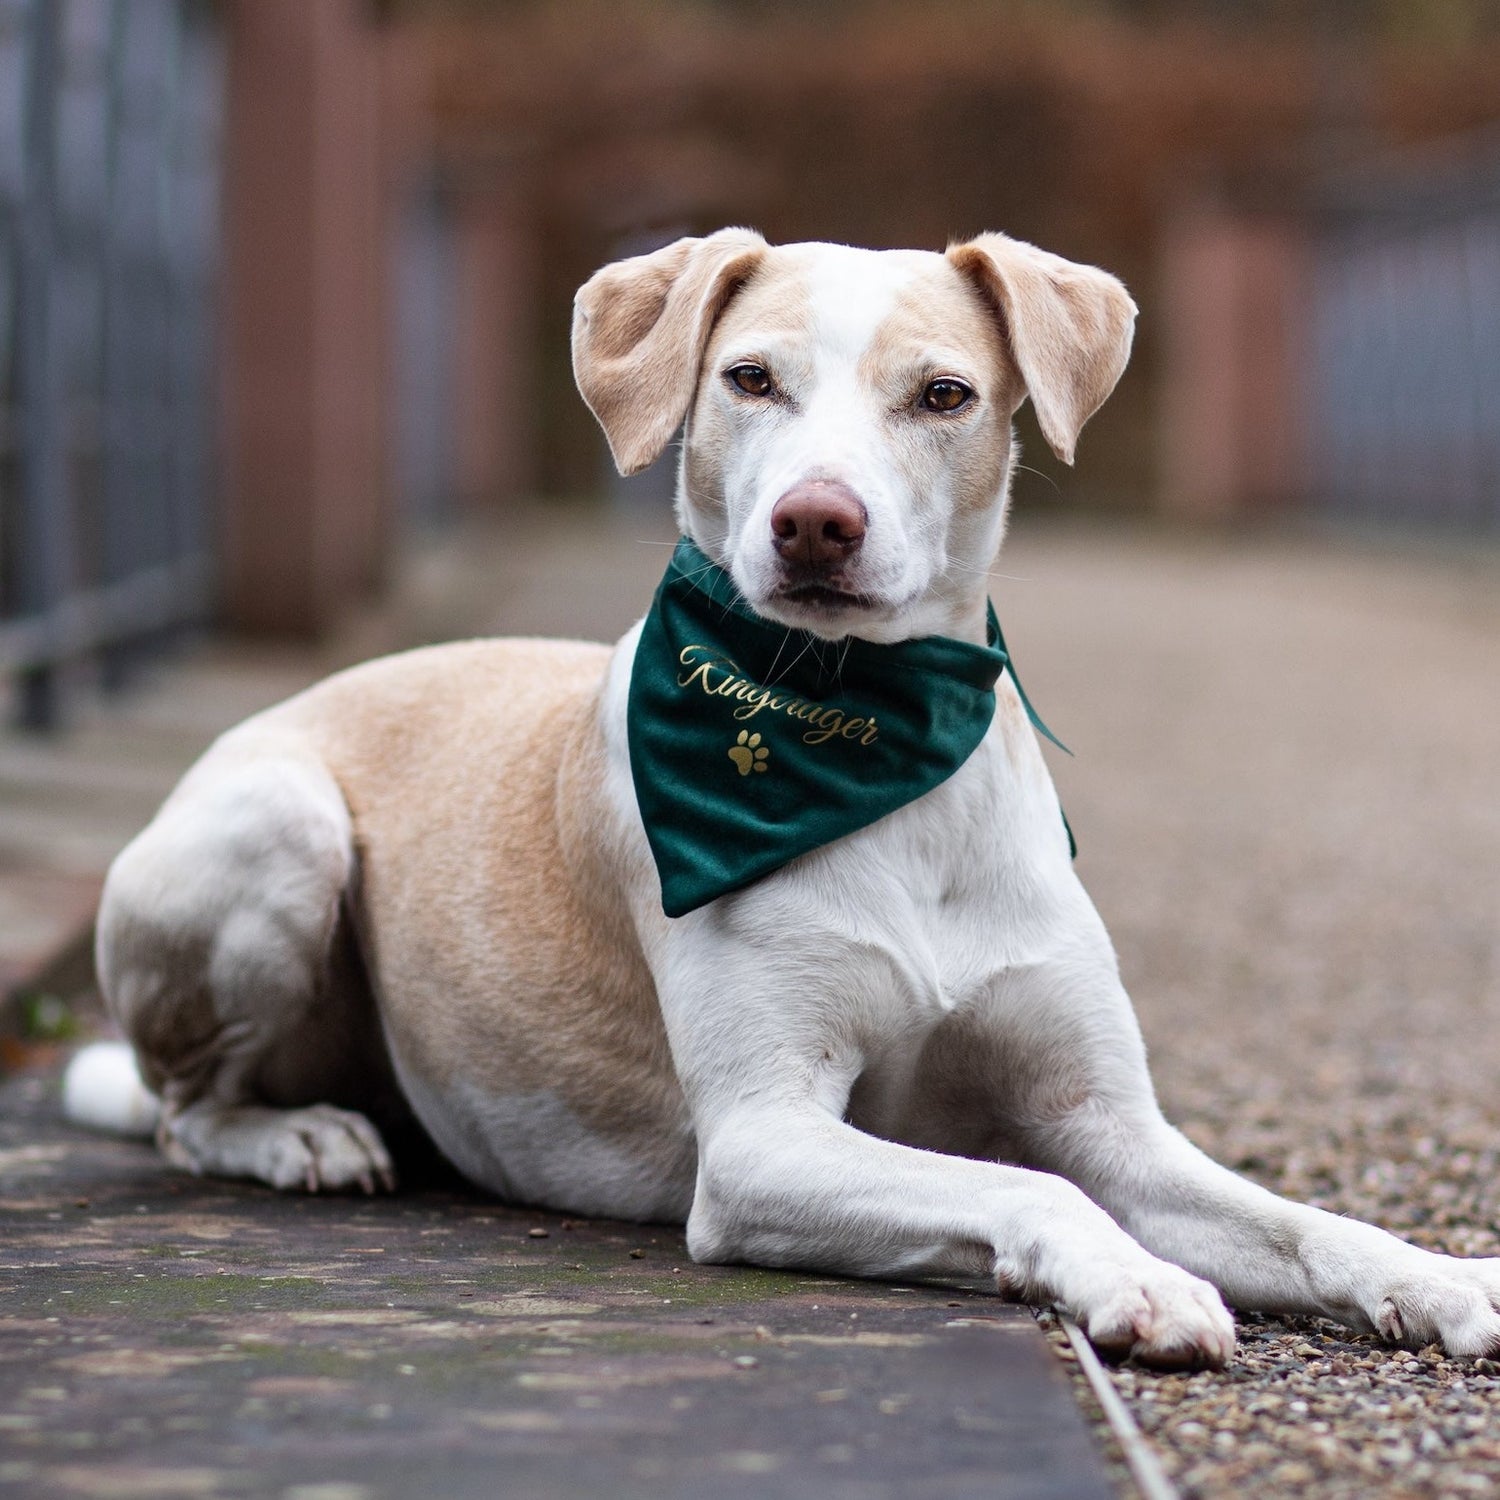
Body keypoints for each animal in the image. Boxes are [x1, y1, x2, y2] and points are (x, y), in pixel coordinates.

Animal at [70, 228, 1500, 1368]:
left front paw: (1440, 1280)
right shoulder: (763, 1144)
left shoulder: (1108, 1122)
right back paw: (298, 1139)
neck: (873, 744)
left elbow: (1301, 1220)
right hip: (278, 830)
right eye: (751, 378)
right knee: (186, 1114)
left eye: (943, 394)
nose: (818, 521)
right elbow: (1032, 1192)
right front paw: (1142, 1281)